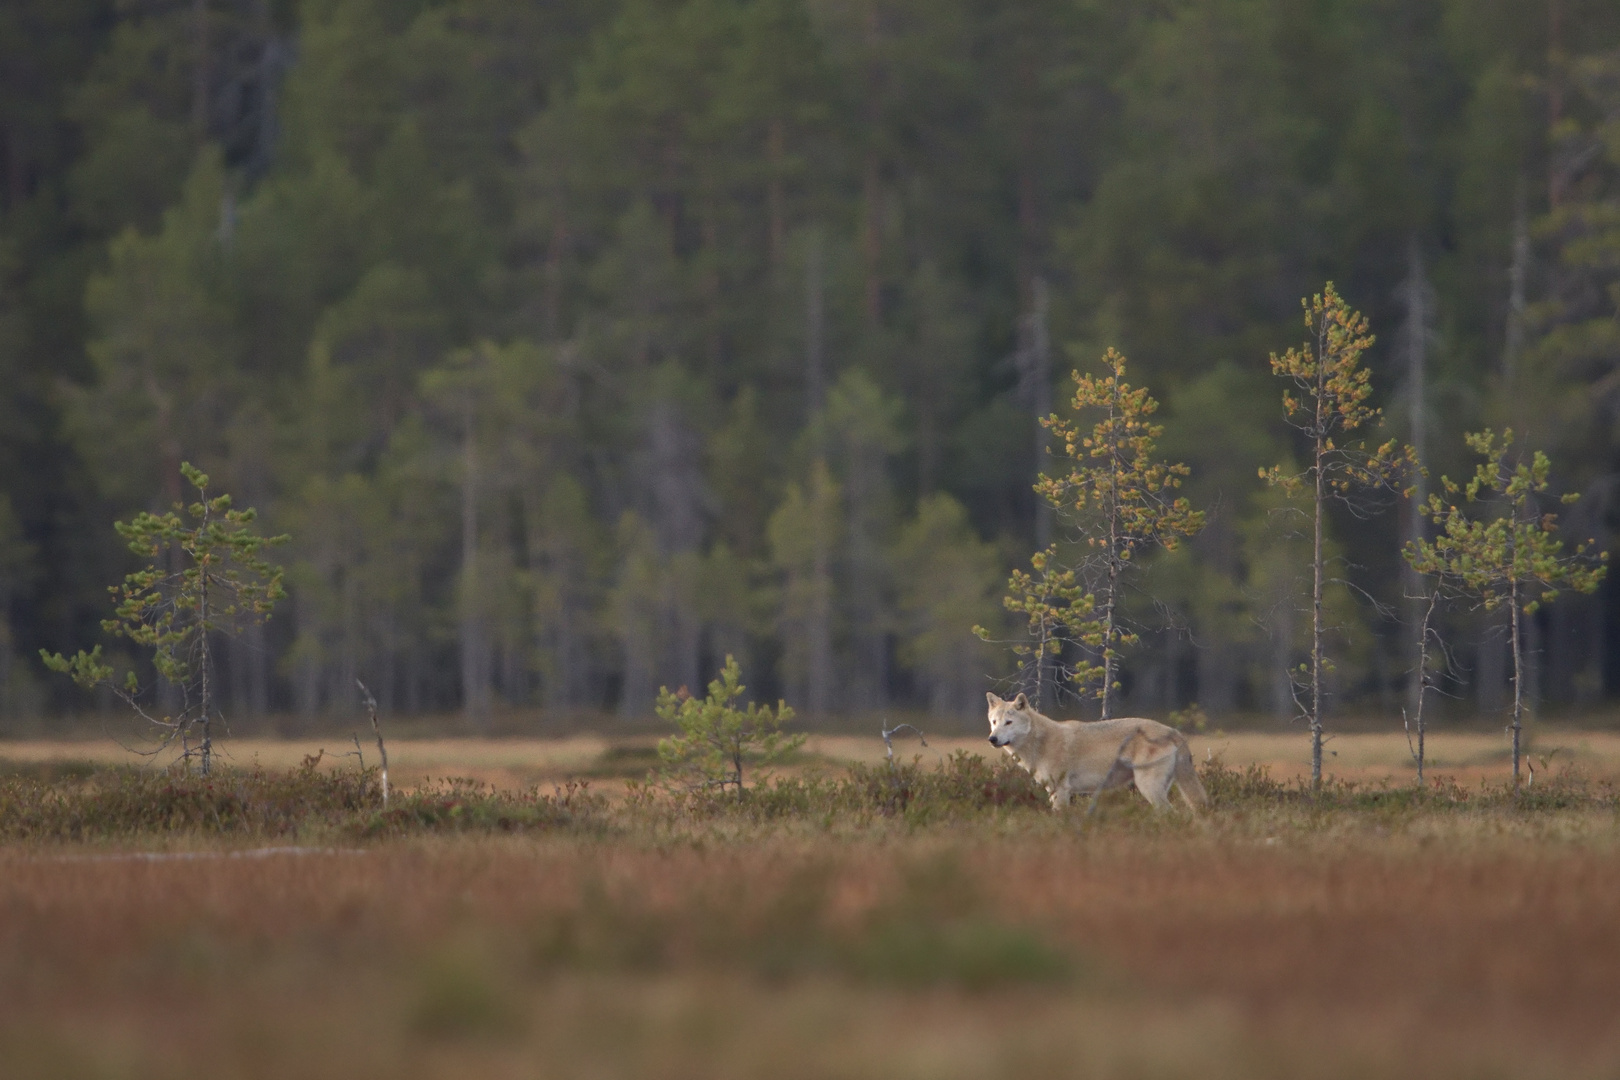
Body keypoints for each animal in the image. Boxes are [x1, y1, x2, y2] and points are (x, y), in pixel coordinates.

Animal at [978, 693, 1211, 809]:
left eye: (1008, 723)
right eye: (994, 722)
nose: (992, 739)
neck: (1040, 743)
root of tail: (1174, 731)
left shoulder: (1061, 792)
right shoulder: (1054, 792)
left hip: (1148, 787)